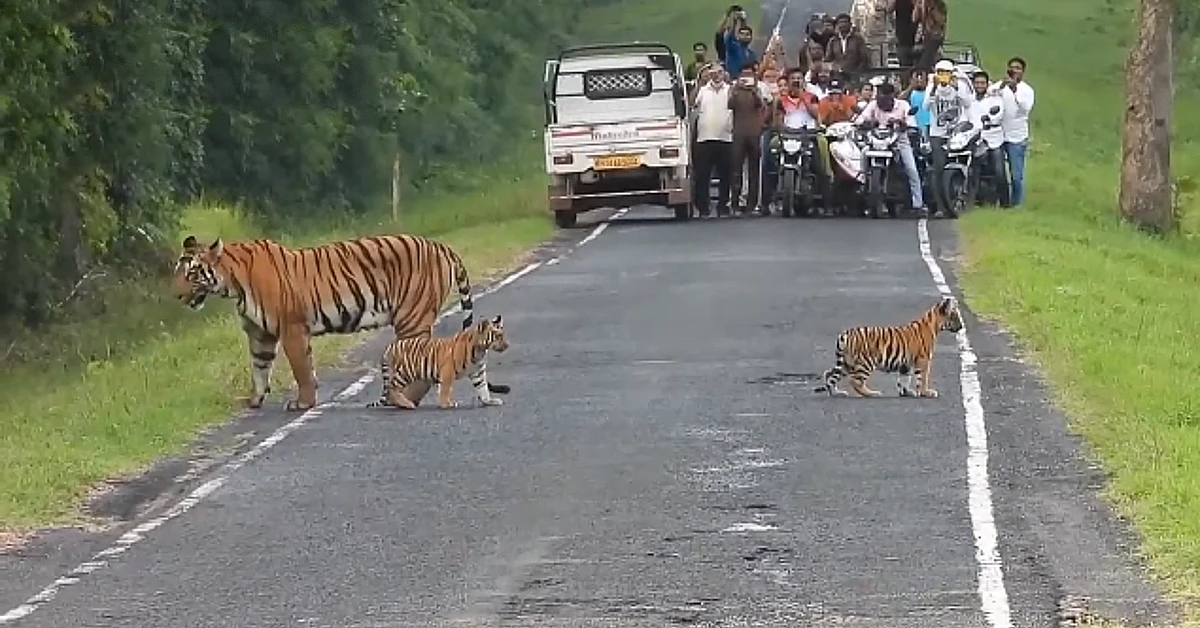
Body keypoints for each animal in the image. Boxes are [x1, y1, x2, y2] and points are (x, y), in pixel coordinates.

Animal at [171, 232, 508, 410]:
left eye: (191, 273)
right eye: (178, 271)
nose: (176, 295)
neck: (233, 283)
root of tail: (441, 246)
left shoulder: (291, 328)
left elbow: (302, 369)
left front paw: (303, 403)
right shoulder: (260, 334)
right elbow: (259, 368)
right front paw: (254, 401)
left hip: (412, 315)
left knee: (421, 356)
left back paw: (401, 400)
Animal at [811, 296, 960, 398]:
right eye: (955, 316)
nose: (961, 326)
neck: (934, 324)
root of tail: (845, 334)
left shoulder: (906, 363)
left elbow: (905, 379)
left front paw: (907, 392)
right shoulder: (924, 359)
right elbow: (923, 377)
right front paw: (926, 392)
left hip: (847, 363)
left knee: (829, 374)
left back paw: (837, 392)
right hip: (865, 362)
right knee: (855, 381)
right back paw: (872, 393)